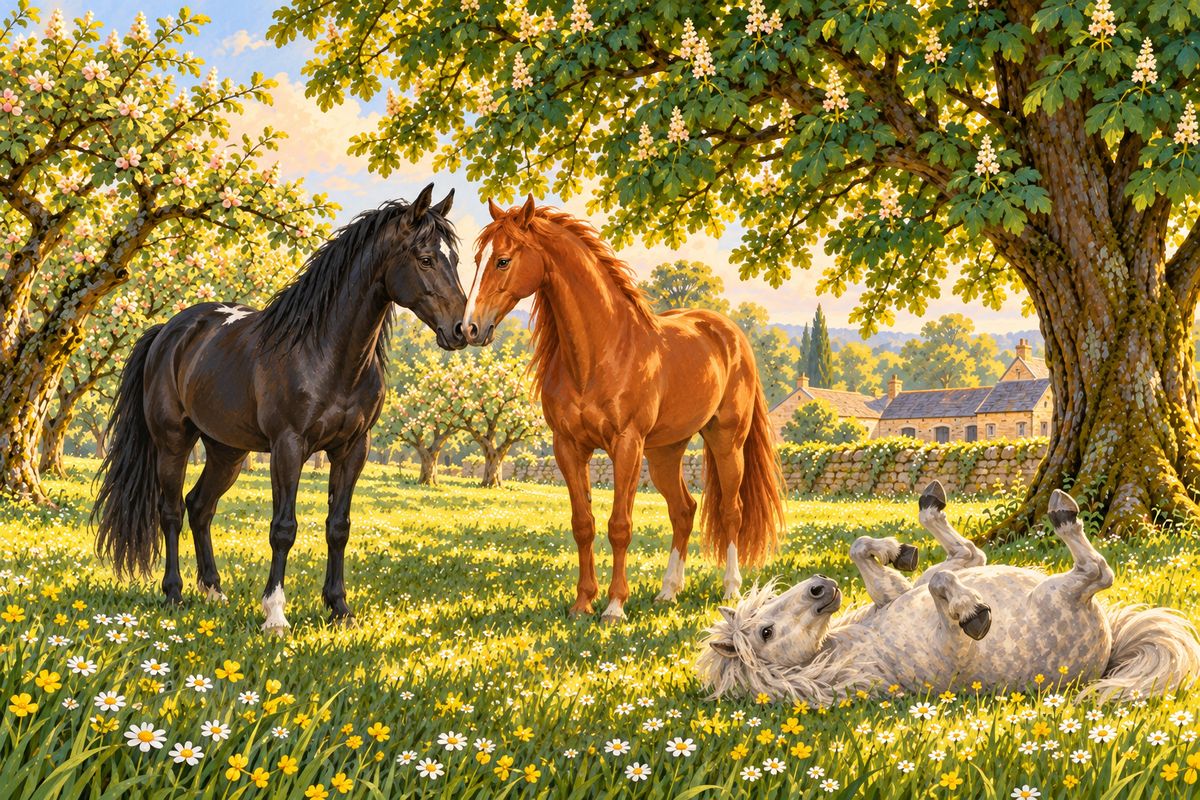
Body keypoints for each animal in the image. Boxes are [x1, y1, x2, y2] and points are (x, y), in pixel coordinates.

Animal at [93, 184, 467, 633]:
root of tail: (169, 331)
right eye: (425, 258)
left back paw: (214, 591)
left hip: (227, 451)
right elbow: (283, 528)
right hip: (173, 443)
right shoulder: (289, 446)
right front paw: (275, 613)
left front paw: (339, 608)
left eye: (455, 259)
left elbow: (338, 527)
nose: (462, 330)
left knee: (200, 507)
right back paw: (174, 594)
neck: (325, 352)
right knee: (171, 512)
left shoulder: (353, 449)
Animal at [461, 196, 785, 623]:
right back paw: (668, 592)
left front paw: (615, 606)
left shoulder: (627, 446)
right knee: (684, 510)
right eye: (477, 257)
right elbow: (583, 524)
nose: (469, 328)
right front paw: (583, 603)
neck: (600, 353)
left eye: (503, 260)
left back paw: (731, 590)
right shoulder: (568, 447)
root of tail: (730, 333)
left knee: (732, 511)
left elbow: (620, 525)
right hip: (666, 452)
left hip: (726, 440)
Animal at [698, 481, 1200, 703]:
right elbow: (950, 597)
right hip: (1061, 592)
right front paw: (973, 611)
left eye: (770, 608)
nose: (823, 589)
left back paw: (928, 513)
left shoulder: (893, 596)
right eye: (765, 632)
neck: (849, 650)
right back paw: (1062, 515)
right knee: (1096, 571)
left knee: (969, 554)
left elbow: (864, 551)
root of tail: (1110, 650)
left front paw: (894, 551)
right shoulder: (953, 651)